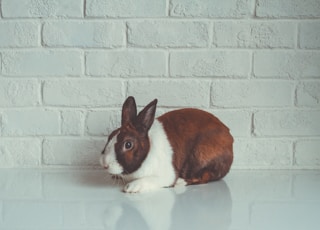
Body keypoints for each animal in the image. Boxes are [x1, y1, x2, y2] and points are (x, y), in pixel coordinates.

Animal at [101, 96, 234, 193]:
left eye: (128, 144)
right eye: (110, 136)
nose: (105, 165)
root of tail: (230, 140)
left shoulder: (166, 175)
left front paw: (131, 187)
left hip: (200, 156)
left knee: (206, 176)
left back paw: (181, 181)